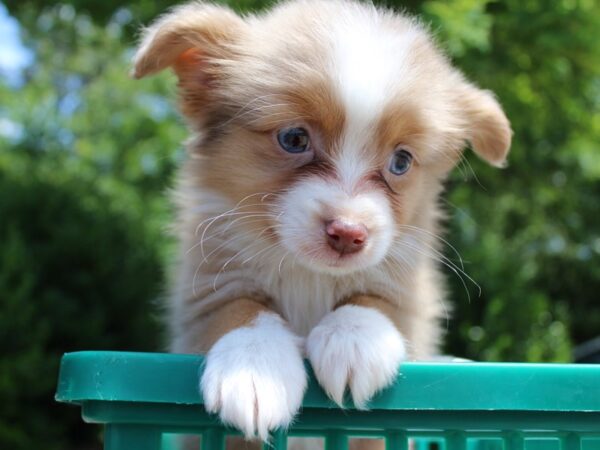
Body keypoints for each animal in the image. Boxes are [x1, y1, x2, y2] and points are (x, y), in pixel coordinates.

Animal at [132, 0, 510, 442]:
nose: (348, 233)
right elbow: (238, 307)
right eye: (294, 139)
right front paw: (254, 367)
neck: (307, 275)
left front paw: (354, 340)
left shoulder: (413, 298)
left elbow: (379, 300)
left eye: (401, 161)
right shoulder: (202, 289)